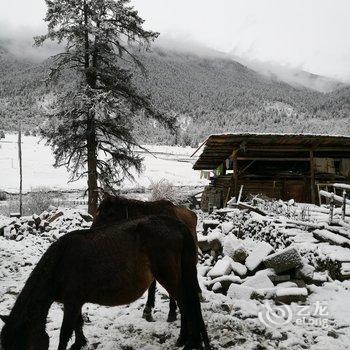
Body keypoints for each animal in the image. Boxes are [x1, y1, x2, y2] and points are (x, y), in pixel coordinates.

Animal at [0, 216, 209, 350]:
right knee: (186, 305)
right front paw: (80, 343)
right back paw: (183, 340)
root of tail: (179, 225)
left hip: (169, 278)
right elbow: (78, 323)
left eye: (21, 345)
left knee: (186, 304)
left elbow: (65, 332)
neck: (60, 263)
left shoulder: (72, 302)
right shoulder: (75, 301)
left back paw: (190, 342)